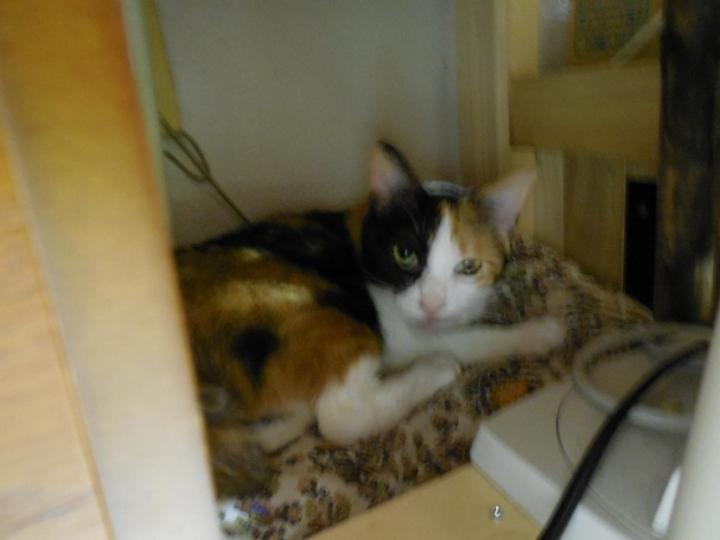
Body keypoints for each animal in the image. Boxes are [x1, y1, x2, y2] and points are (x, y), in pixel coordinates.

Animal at [174, 142, 564, 495]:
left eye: (468, 267)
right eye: (405, 254)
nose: (431, 304)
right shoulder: (403, 335)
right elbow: (474, 338)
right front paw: (540, 333)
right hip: (319, 310)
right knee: (339, 418)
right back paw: (434, 369)